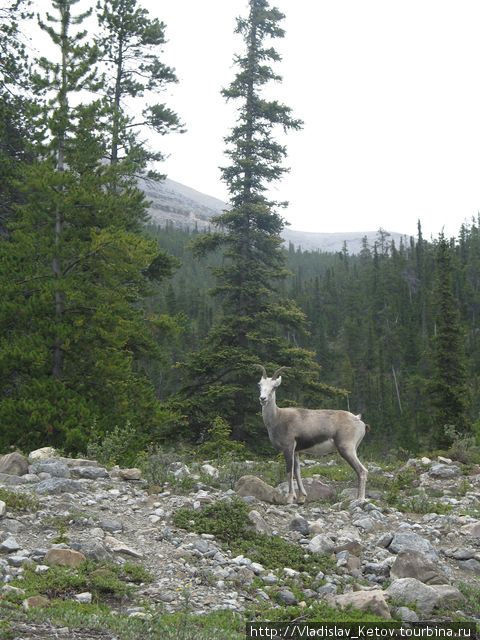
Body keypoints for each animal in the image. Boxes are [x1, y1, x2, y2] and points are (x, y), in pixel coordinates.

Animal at [255, 368, 368, 502]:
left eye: (274, 387)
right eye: (260, 385)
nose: (263, 398)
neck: (278, 417)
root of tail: (358, 419)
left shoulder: (288, 448)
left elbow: (289, 472)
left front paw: (290, 498)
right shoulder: (296, 452)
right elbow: (297, 471)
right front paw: (301, 497)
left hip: (347, 450)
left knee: (362, 471)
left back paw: (360, 499)